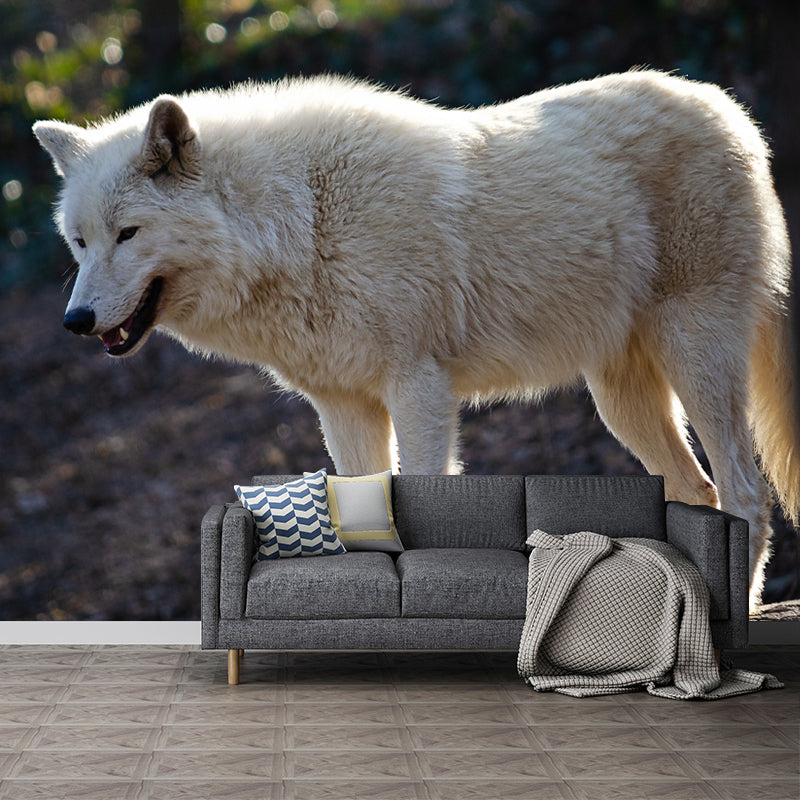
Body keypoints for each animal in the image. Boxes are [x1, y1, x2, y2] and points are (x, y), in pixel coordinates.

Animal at [34, 70, 797, 609]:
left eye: (128, 233)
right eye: (80, 241)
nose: (75, 320)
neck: (300, 220)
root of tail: (730, 108)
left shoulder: (419, 388)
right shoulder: (342, 406)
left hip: (694, 357)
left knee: (747, 495)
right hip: (622, 402)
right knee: (699, 494)